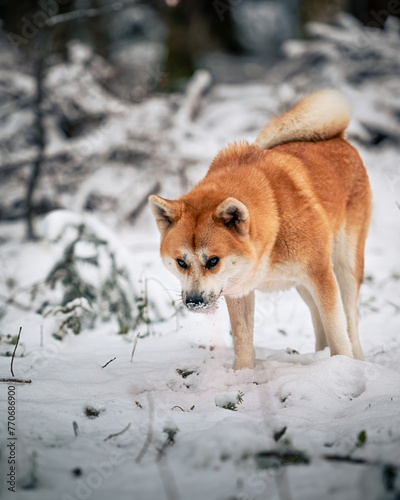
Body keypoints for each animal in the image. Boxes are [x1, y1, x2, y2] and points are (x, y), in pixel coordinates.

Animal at [149, 89, 372, 372]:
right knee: (317, 318)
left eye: (213, 261)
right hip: (301, 285)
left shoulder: (320, 275)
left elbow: (338, 333)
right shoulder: (238, 290)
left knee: (350, 321)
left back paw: (355, 360)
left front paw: (341, 366)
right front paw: (242, 376)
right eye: (181, 262)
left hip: (344, 269)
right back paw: (318, 357)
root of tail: (339, 138)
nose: (194, 302)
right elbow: (243, 343)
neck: (274, 222)